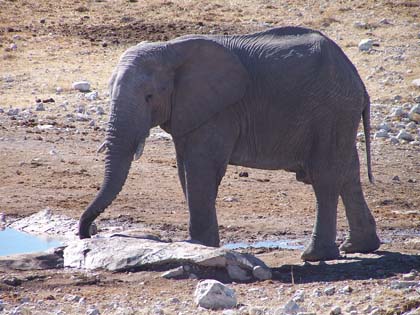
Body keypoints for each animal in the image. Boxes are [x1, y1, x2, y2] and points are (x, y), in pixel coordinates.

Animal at [79, 25, 380, 262]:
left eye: (149, 96)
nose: (89, 234)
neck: (170, 50)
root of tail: (358, 79)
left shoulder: (220, 110)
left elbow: (201, 167)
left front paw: (197, 245)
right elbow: (185, 169)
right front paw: (203, 245)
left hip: (331, 110)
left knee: (325, 176)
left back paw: (315, 256)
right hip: (340, 113)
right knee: (347, 171)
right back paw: (359, 247)